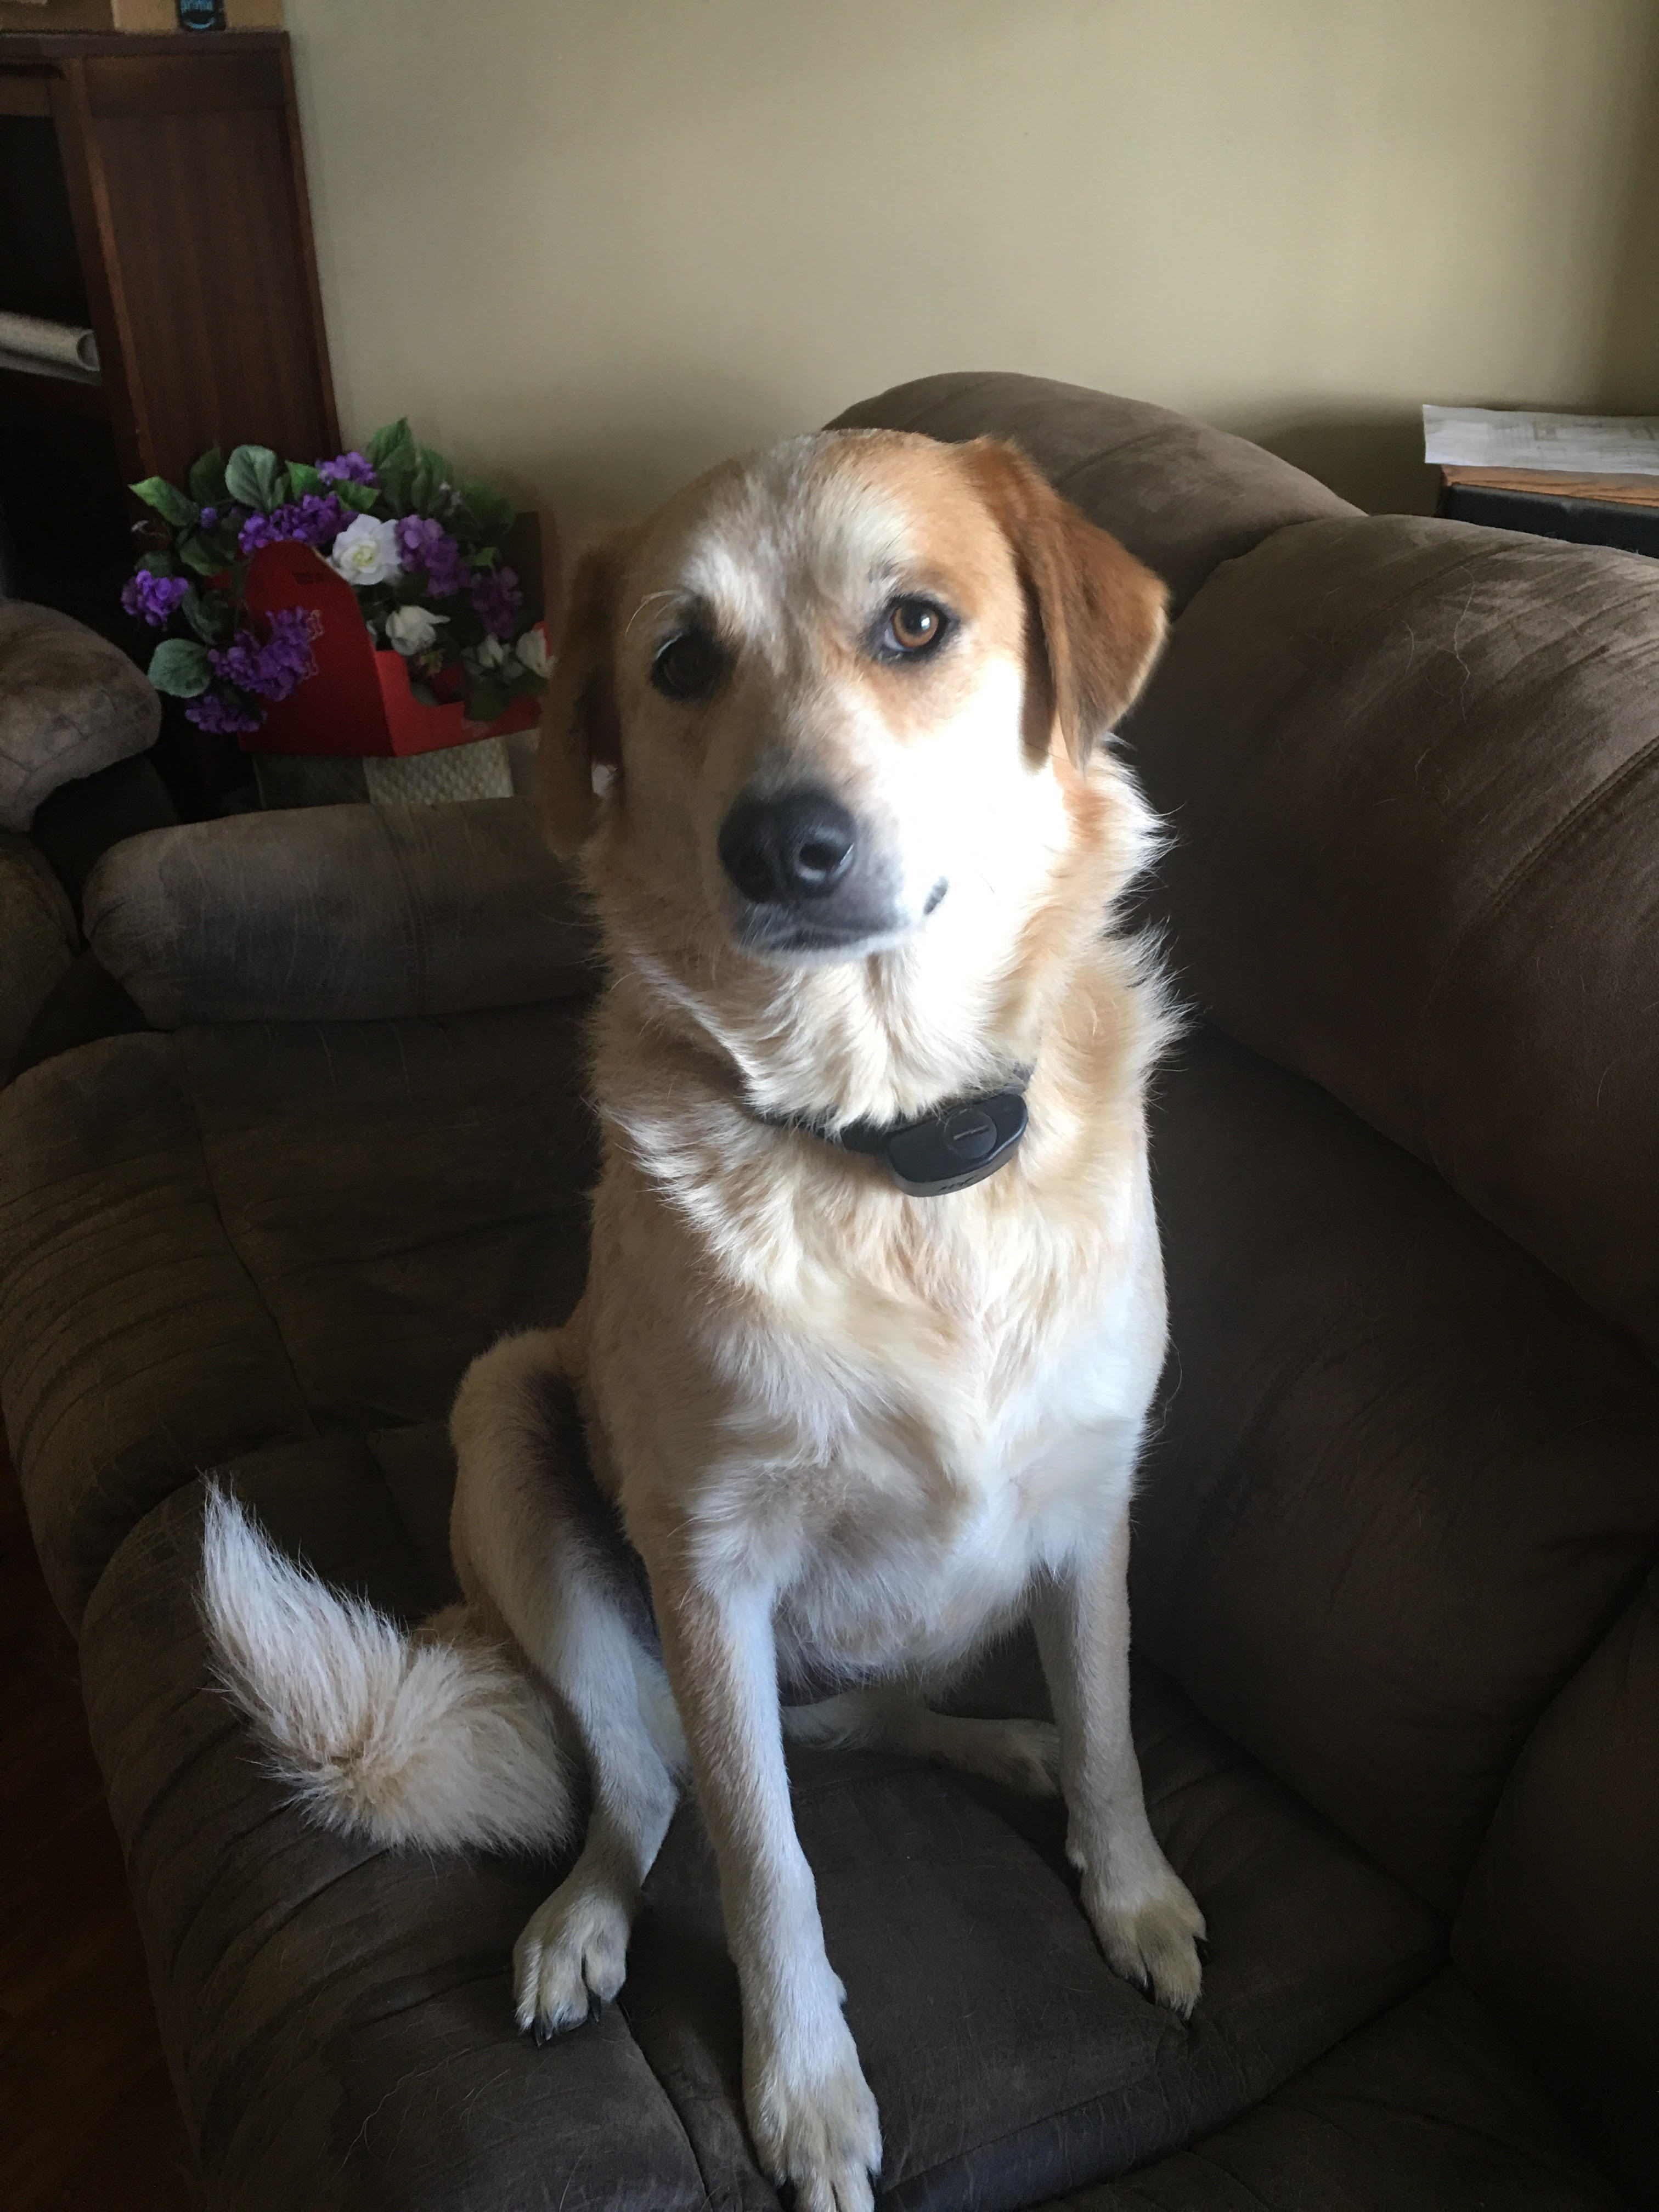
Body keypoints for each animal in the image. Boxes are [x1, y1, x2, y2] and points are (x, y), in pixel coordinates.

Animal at [204, 427, 1212, 2212]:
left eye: (916, 624)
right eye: (678, 663)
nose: (782, 844)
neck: (889, 1153)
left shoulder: (1092, 1507)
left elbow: (1107, 1731)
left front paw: (1130, 1891)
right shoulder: (712, 1569)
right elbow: (761, 1862)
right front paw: (803, 2093)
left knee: (874, 1721)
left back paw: (995, 1747)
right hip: (511, 1431)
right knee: (646, 1783)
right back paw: (584, 1924)